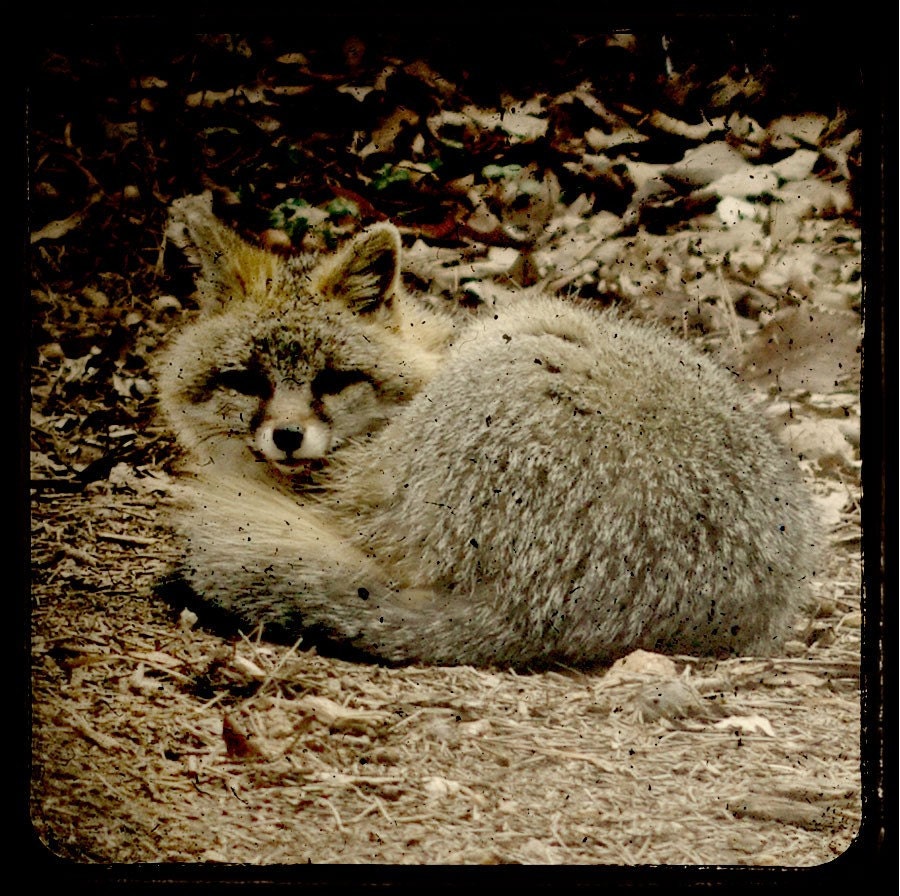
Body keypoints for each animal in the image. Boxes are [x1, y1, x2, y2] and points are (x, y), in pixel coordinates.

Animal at [154, 192, 819, 669]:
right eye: (246, 380)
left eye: (334, 379)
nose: (288, 437)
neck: (430, 353)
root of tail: (540, 612)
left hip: (527, 336)